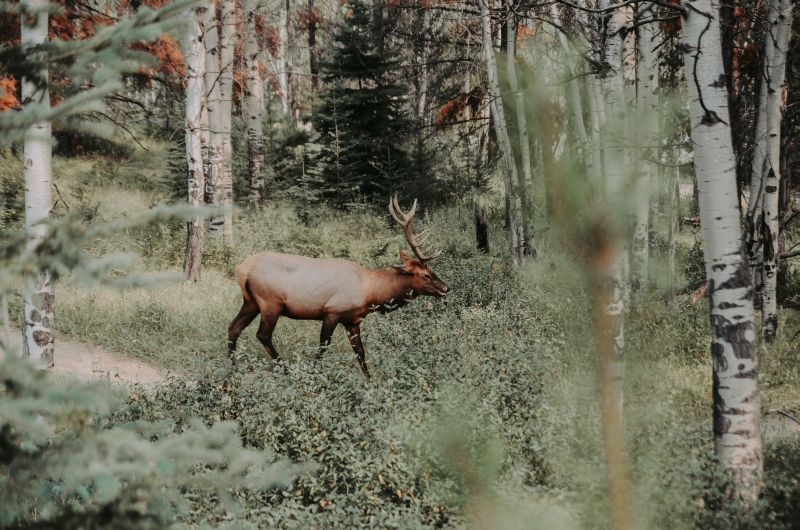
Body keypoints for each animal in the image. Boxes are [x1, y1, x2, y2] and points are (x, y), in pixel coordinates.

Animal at [227, 196, 450, 378]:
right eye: (426, 275)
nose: (446, 288)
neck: (370, 294)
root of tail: (241, 268)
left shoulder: (352, 320)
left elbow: (360, 352)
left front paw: (370, 381)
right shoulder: (332, 311)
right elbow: (323, 347)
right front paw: (314, 375)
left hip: (250, 302)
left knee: (233, 327)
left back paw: (232, 373)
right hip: (270, 303)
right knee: (262, 335)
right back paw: (286, 371)